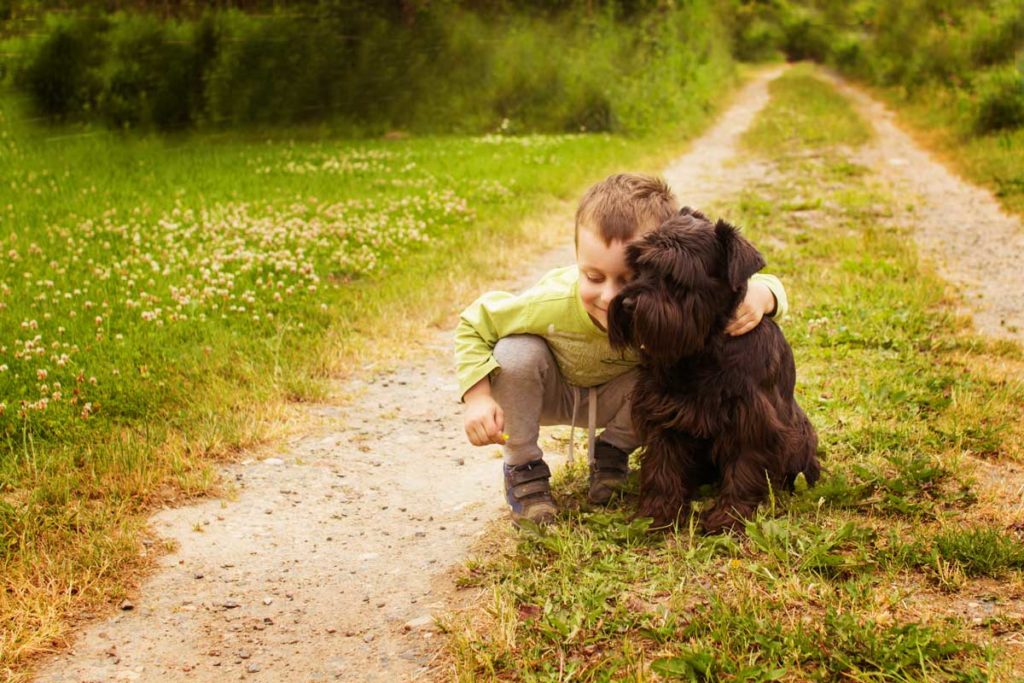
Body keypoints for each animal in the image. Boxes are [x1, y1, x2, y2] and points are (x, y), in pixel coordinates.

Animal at [610, 208, 819, 532]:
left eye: (676, 274)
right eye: (640, 264)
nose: (629, 302)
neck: (703, 348)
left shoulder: (751, 419)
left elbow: (744, 468)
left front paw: (728, 516)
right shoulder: (664, 413)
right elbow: (662, 466)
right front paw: (656, 514)